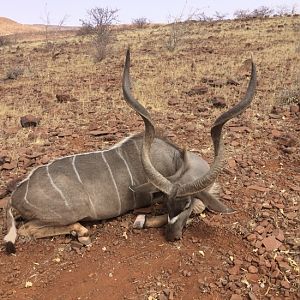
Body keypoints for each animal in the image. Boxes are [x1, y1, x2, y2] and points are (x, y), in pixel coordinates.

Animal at [3, 48, 256, 253]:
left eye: (183, 204)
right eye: (167, 204)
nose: (172, 237)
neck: (178, 160)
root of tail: (16, 194)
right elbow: (198, 206)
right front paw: (141, 221)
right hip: (70, 212)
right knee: (27, 229)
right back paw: (81, 232)